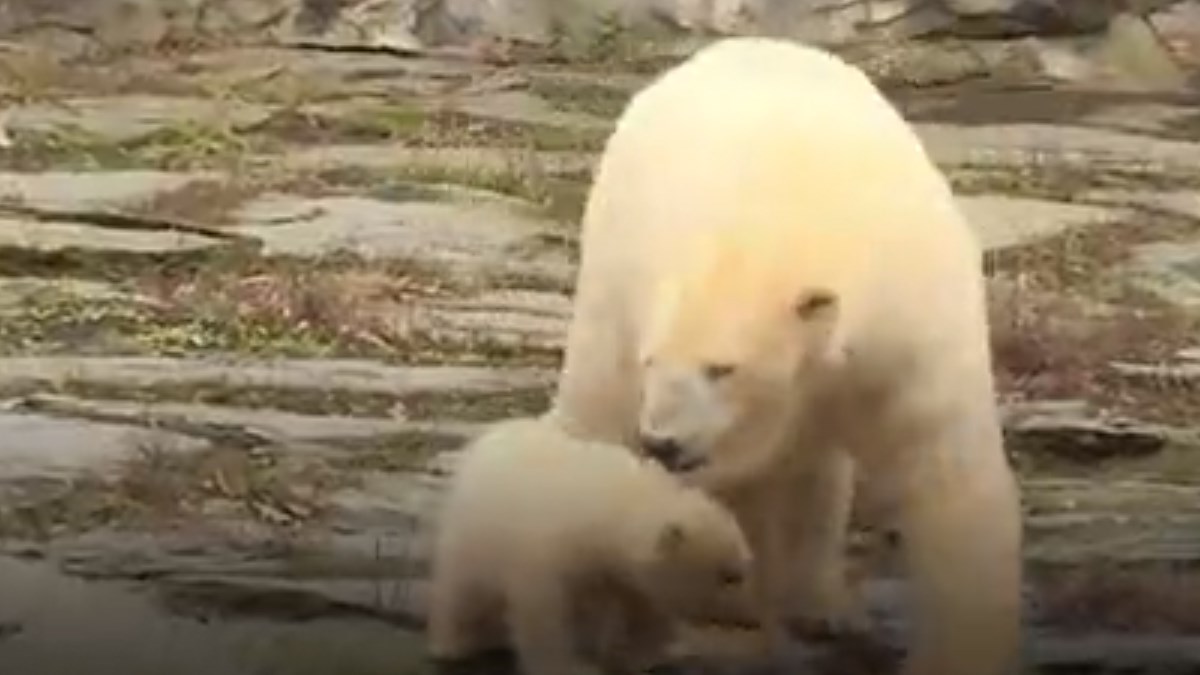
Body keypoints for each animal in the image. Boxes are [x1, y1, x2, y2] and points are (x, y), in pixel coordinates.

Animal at [427, 415, 753, 672]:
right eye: (729, 576)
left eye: (741, 567)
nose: (750, 617)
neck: (616, 505)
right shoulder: (549, 552)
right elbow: (545, 612)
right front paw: (570, 667)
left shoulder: (623, 570)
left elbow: (642, 606)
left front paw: (643, 656)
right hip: (474, 531)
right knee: (463, 588)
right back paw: (453, 644)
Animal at [544, 38, 1022, 675]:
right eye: (653, 361)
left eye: (722, 368)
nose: (662, 443)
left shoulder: (909, 332)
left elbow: (949, 475)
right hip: (608, 273)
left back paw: (822, 605)